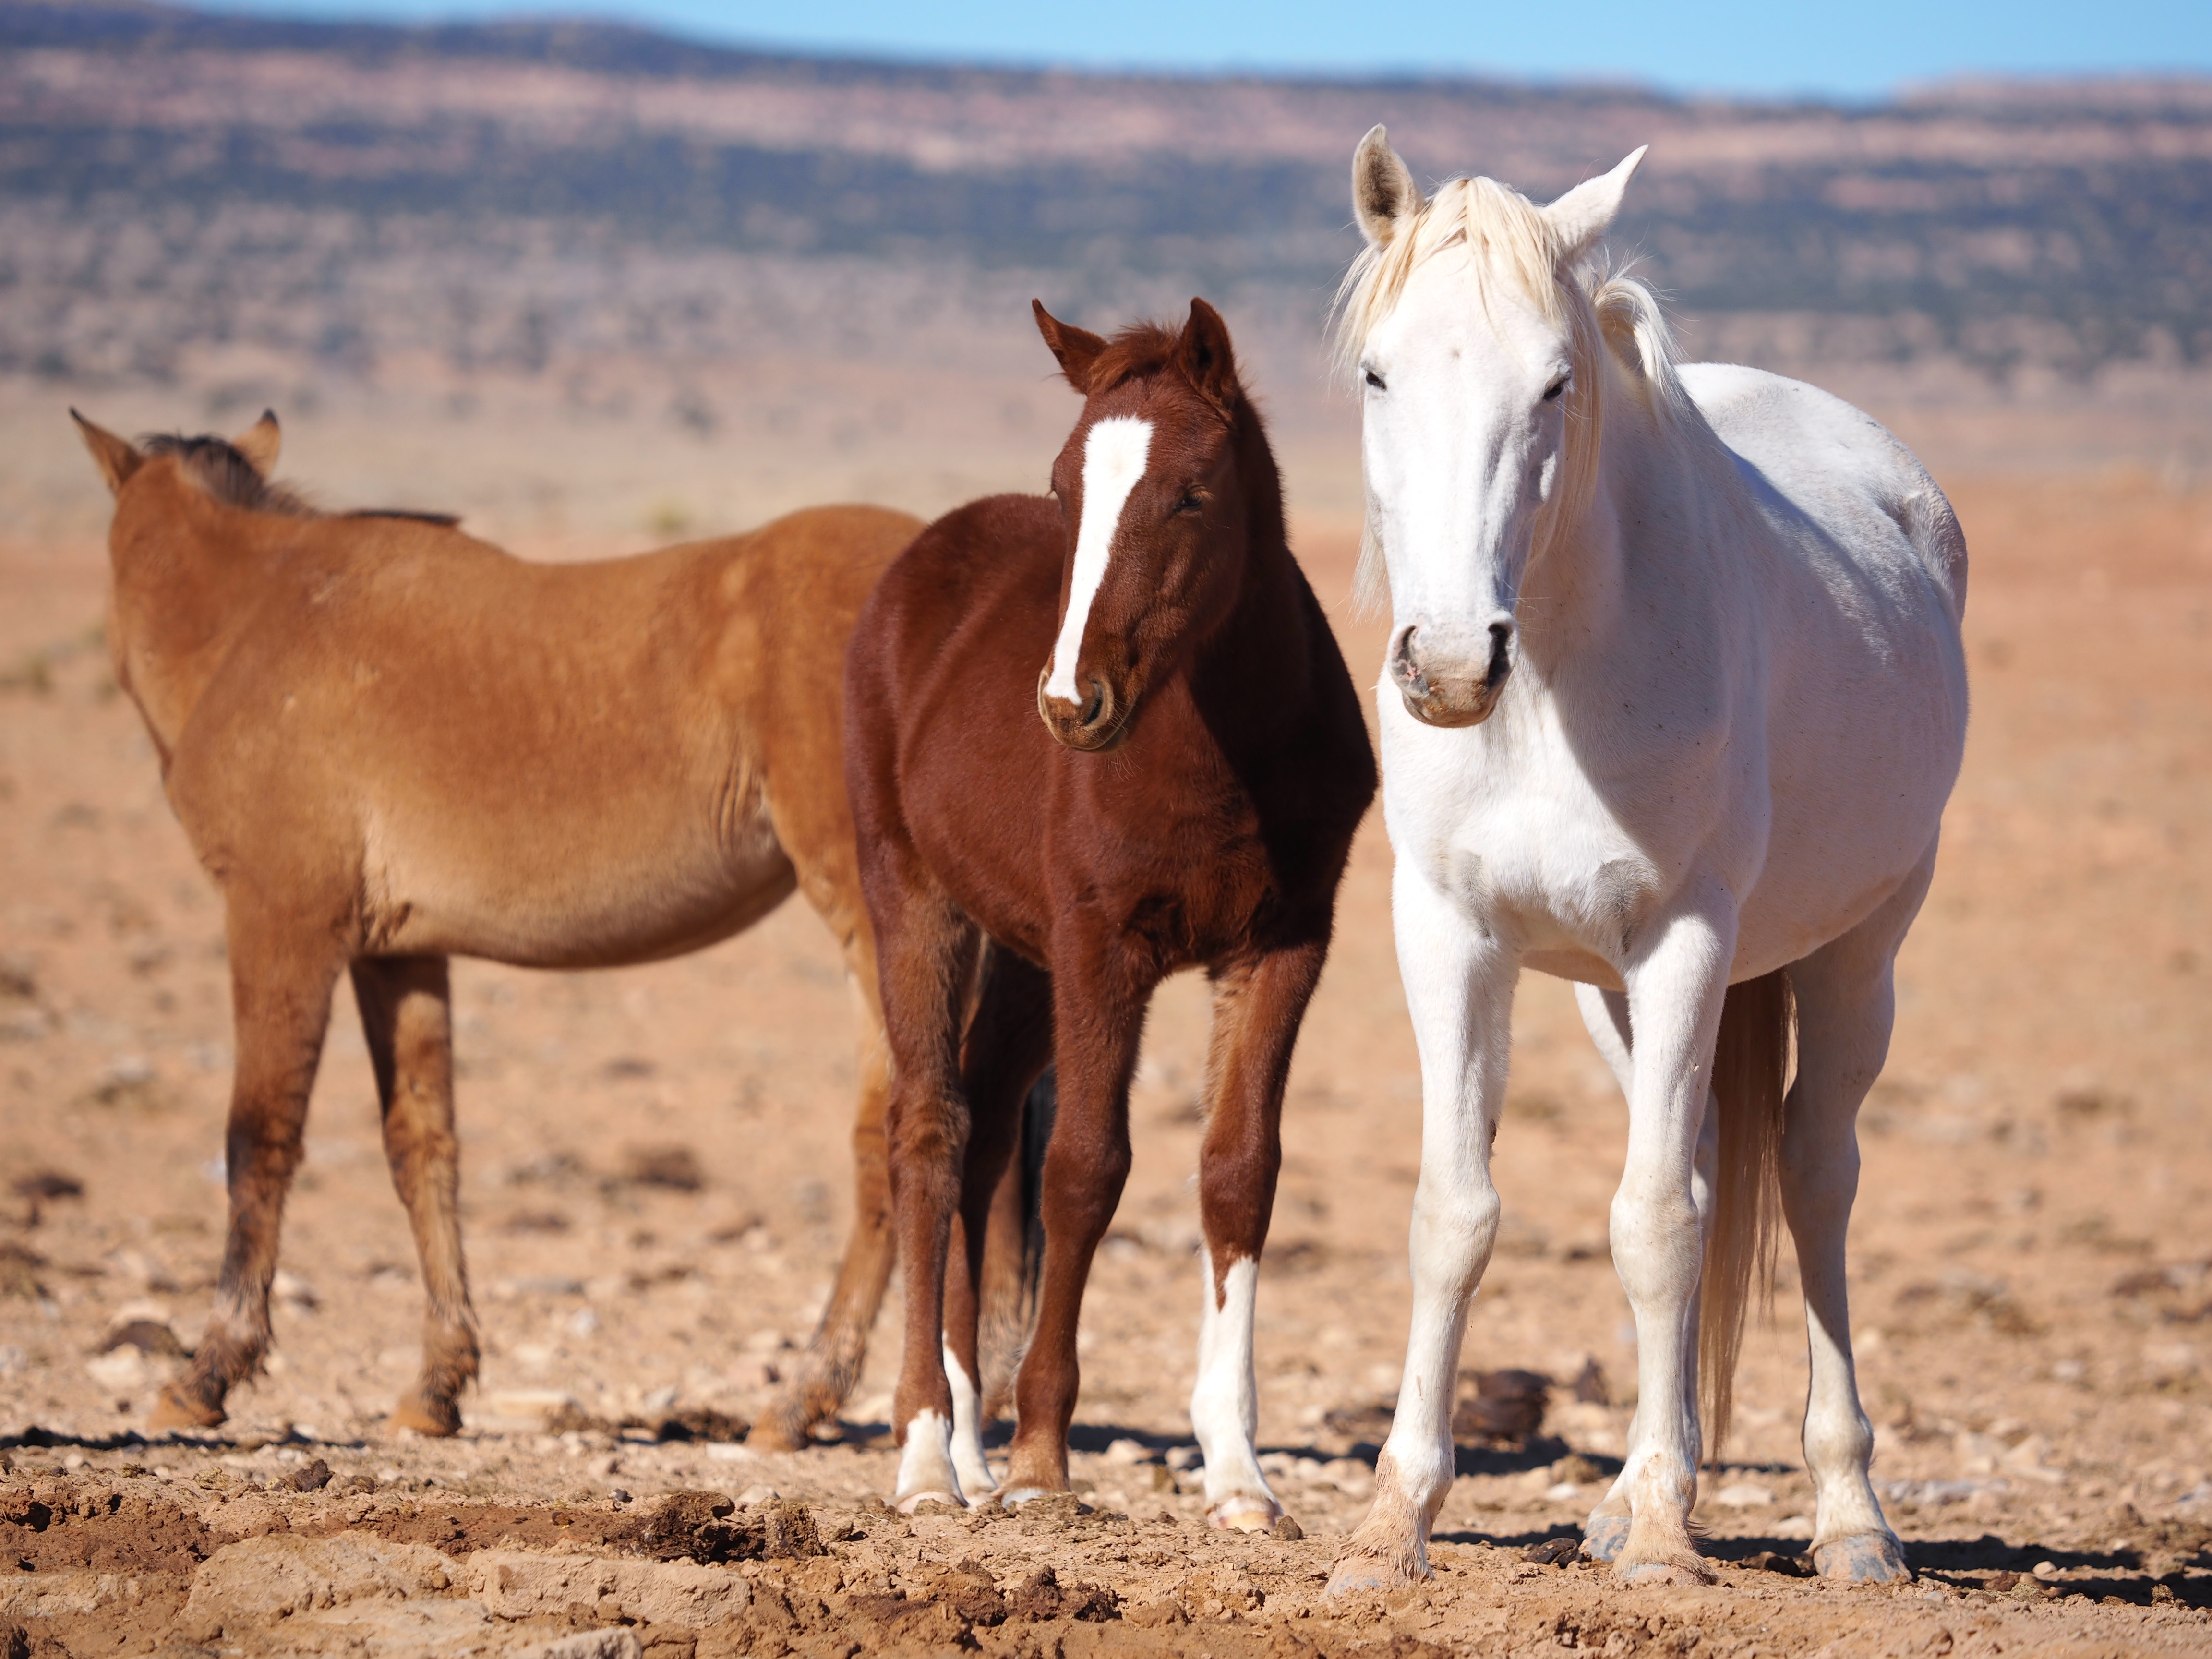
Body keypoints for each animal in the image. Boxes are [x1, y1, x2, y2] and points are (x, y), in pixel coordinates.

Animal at [69, 409, 1035, 1451]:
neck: (255, 620)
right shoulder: (398, 955)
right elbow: (423, 1147)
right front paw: (437, 1384)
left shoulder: (280, 924)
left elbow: (259, 1140)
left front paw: (208, 1372)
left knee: (910, 1134)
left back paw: (816, 1396)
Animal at [841, 303, 1371, 1530]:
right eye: (1062, 485)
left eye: (1191, 494)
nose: (1070, 703)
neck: (1218, 750)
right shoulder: (1103, 947)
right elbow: (1084, 1169)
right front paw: (1045, 1458)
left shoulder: (1284, 946)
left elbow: (1239, 1172)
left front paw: (1239, 1475)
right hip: (918, 901)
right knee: (930, 1136)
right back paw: (929, 1455)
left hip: (1024, 954)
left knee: (986, 1131)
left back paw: (970, 1444)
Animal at [1318, 133, 1964, 1601]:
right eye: (1378, 371)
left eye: (1556, 382)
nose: (1452, 663)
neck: (1556, 680)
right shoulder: (1450, 935)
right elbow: (1456, 1213)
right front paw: (1392, 1523)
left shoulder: (1686, 939)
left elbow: (1657, 1224)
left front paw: (1671, 1542)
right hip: (1606, 998)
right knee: (1717, 1163)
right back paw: (1626, 1496)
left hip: (1860, 956)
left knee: (1813, 1176)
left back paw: (1850, 1518)